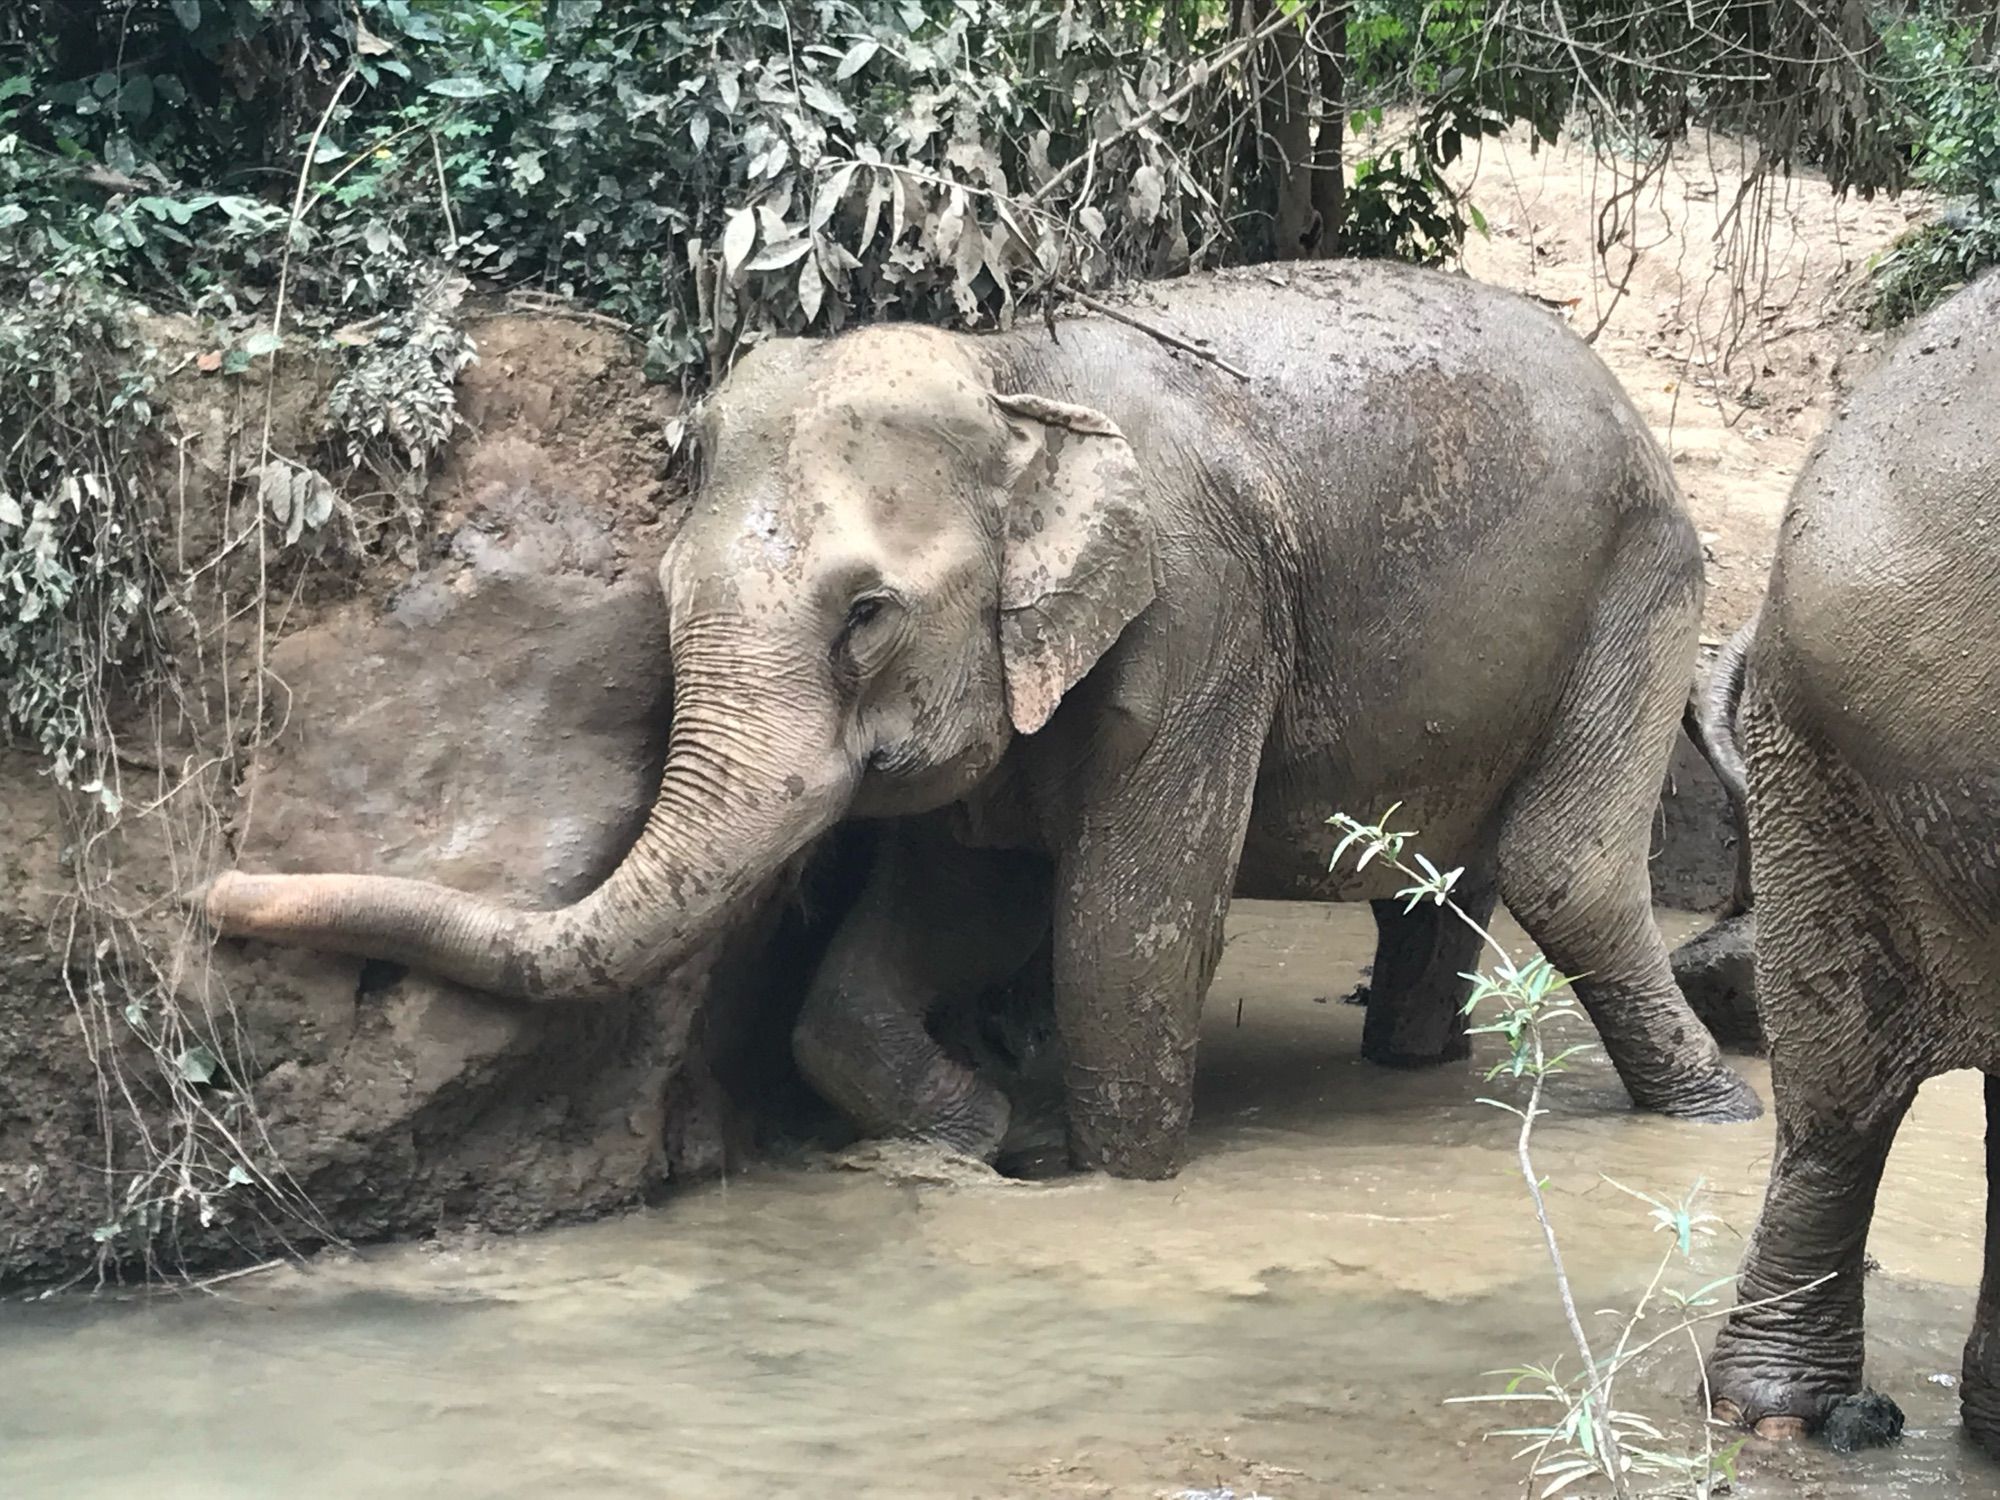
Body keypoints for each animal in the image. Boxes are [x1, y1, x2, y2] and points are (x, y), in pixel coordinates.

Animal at [207, 258, 1768, 1184]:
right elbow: (941, 921)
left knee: (1565, 862)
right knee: (1448, 875)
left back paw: (1716, 1110)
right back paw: (1417, 1060)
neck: (1010, 371)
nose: (216, 897)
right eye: (665, 593)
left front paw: (1106, 1170)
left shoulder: (1202, 611)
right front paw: (991, 1135)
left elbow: (1123, 928)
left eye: (864, 616)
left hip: (1641, 578)